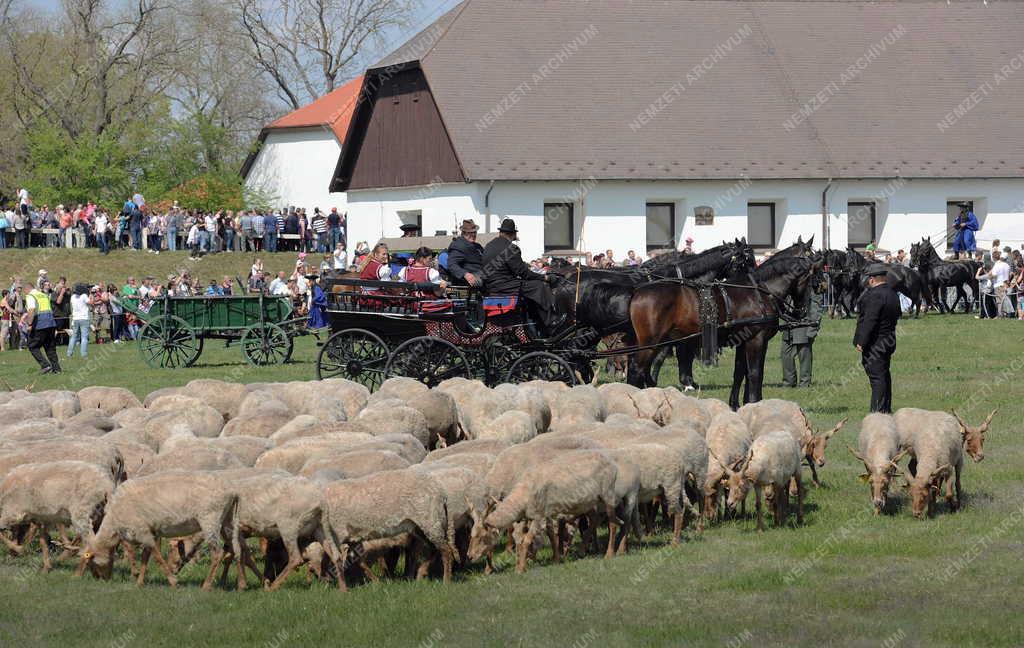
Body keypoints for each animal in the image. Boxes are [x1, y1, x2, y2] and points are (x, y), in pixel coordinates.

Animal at [622, 253, 815, 409]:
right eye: (810, 280)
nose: (802, 311)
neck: (760, 293)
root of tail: (637, 291)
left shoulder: (742, 342)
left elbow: (740, 373)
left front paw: (738, 404)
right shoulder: (756, 340)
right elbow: (755, 373)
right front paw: (755, 402)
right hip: (651, 343)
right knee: (636, 370)